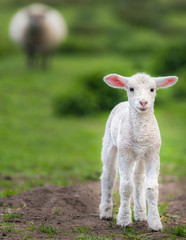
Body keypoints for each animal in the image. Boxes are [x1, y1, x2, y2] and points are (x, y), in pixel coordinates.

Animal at [99, 72, 178, 231]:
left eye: (152, 89)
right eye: (131, 89)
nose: (143, 102)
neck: (140, 136)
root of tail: (123, 103)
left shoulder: (153, 154)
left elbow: (152, 189)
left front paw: (155, 223)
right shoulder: (125, 154)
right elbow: (125, 187)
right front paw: (123, 219)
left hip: (141, 156)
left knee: (138, 178)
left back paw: (140, 214)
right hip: (110, 144)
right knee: (108, 175)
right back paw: (106, 211)